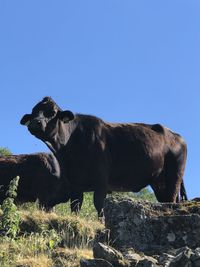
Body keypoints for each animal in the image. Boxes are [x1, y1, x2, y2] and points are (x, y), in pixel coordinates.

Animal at [20, 97, 188, 217]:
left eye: (52, 112)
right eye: (33, 112)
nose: (35, 123)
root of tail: (176, 135)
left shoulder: (101, 181)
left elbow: (100, 206)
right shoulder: (75, 183)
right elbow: (75, 206)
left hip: (174, 176)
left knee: (172, 199)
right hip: (159, 181)